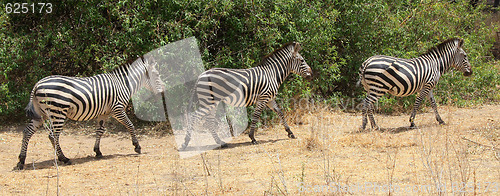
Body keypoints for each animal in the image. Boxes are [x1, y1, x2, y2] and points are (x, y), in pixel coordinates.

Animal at [14, 57, 163, 170]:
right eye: (156, 75)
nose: (163, 91)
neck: (123, 84)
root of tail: (37, 84)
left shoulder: (104, 113)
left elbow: (100, 131)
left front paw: (97, 151)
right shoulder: (117, 109)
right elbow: (130, 125)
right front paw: (137, 147)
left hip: (41, 114)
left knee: (27, 132)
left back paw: (21, 160)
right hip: (58, 112)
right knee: (52, 136)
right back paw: (64, 158)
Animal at [180, 41, 312, 150]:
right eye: (302, 60)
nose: (311, 74)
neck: (272, 74)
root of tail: (201, 75)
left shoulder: (270, 99)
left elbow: (280, 113)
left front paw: (290, 132)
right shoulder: (263, 98)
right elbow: (256, 116)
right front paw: (252, 138)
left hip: (213, 101)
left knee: (209, 120)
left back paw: (220, 142)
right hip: (208, 101)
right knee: (194, 116)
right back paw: (185, 143)